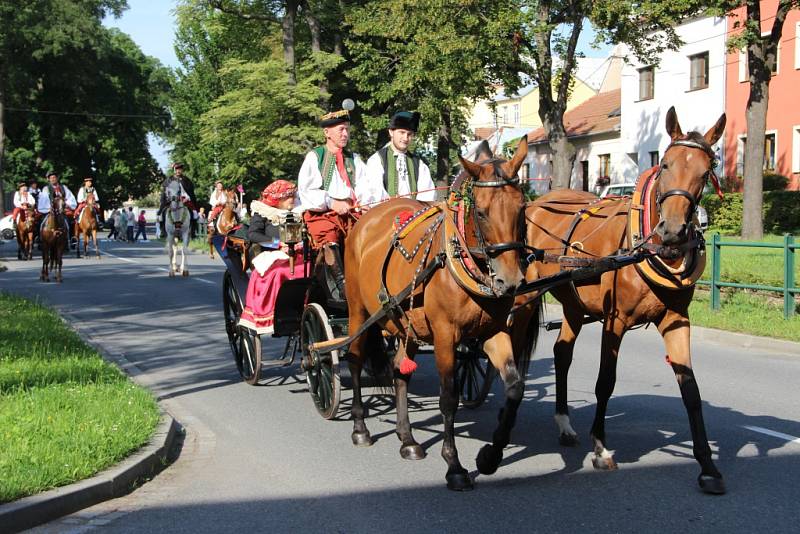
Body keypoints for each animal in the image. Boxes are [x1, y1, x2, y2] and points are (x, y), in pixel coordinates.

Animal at [342, 136, 536, 492]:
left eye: (522, 208)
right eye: (482, 212)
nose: (511, 281)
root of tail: (366, 219)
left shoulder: (494, 333)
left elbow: (515, 388)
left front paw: (491, 456)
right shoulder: (446, 336)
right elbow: (449, 397)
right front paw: (454, 465)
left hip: (406, 323)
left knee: (400, 370)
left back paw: (407, 439)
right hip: (358, 312)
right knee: (355, 358)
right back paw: (360, 427)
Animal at [516, 107, 728, 496]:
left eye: (706, 171)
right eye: (665, 165)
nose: (672, 230)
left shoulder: (676, 320)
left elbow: (690, 389)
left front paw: (708, 466)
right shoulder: (615, 321)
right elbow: (605, 381)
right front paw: (600, 447)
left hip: (573, 304)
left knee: (562, 354)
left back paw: (564, 423)